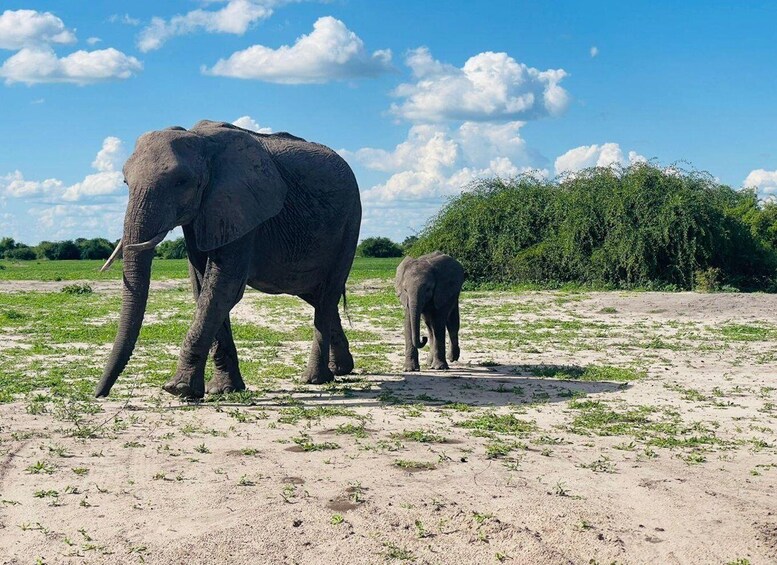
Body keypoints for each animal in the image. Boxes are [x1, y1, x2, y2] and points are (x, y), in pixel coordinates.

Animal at [94, 120, 361, 399]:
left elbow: (223, 287)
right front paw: (223, 390)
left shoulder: (240, 206)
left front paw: (178, 389)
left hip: (350, 223)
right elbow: (203, 286)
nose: (99, 394)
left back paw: (315, 379)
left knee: (327, 295)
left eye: (182, 181)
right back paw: (341, 369)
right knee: (316, 295)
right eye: (125, 182)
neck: (201, 141)